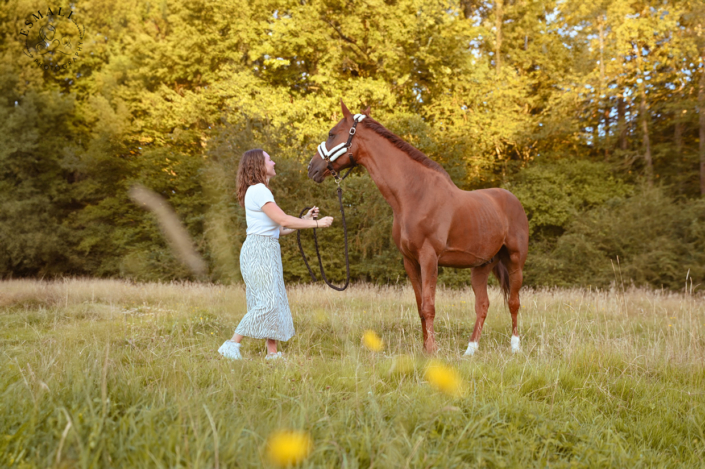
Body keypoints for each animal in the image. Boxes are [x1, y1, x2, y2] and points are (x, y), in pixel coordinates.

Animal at [308, 100, 528, 352]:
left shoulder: (429, 258)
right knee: (482, 305)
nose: (312, 167)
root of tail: (512, 200)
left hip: (515, 261)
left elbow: (429, 307)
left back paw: (515, 347)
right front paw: (425, 349)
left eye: (332, 133)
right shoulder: (410, 261)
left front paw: (432, 350)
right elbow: (420, 306)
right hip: (481, 266)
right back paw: (470, 350)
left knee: (513, 302)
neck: (414, 195)